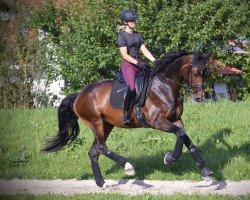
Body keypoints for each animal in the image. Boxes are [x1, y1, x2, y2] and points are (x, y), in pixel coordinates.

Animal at [43, 50, 213, 188]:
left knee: (94, 152)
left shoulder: (176, 119)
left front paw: (206, 171)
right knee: (101, 147)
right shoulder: (157, 122)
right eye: (196, 72)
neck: (164, 85)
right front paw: (170, 158)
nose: (200, 97)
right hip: (96, 122)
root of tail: (79, 94)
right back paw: (128, 167)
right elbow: (179, 134)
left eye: (205, 72)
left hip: (106, 126)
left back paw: (101, 183)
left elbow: (185, 137)